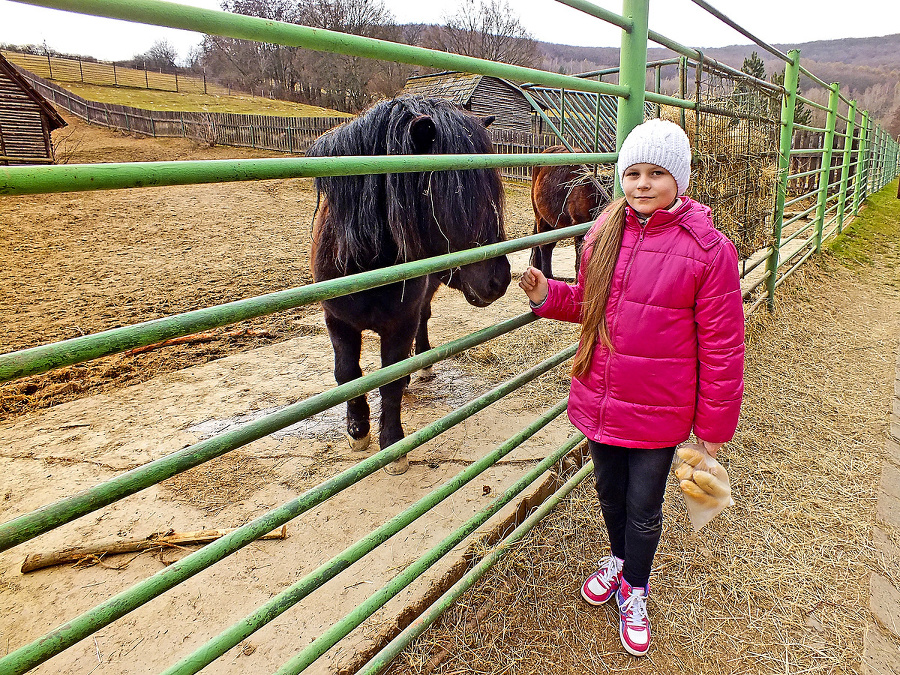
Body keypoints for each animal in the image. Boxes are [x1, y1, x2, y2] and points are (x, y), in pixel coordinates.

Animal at [308, 95, 510, 476]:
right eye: (450, 197)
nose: (500, 280)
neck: (366, 264)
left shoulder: (401, 322)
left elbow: (389, 379)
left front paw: (393, 445)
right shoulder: (337, 321)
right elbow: (348, 374)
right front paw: (358, 430)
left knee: (423, 323)